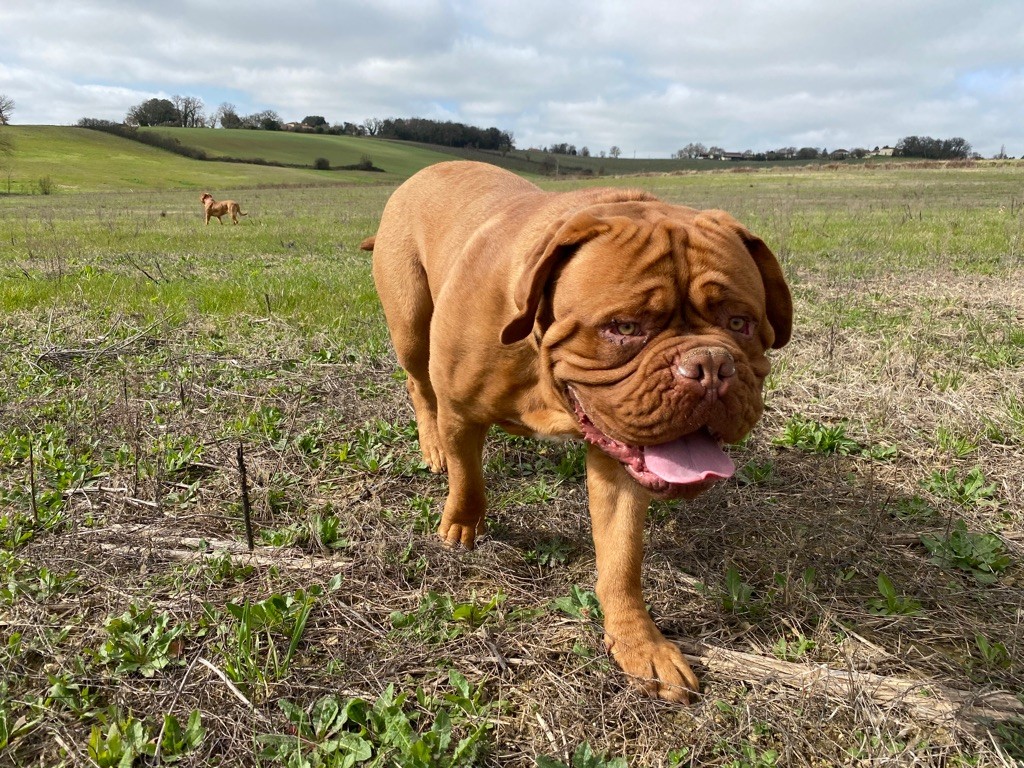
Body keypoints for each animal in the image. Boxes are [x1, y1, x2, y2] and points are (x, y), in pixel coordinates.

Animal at [360, 160, 790, 704]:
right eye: (624, 328)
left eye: (740, 322)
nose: (710, 366)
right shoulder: (460, 412)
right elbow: (468, 479)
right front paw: (461, 525)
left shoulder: (620, 466)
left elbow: (621, 558)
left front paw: (639, 641)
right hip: (411, 326)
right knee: (419, 386)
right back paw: (432, 447)